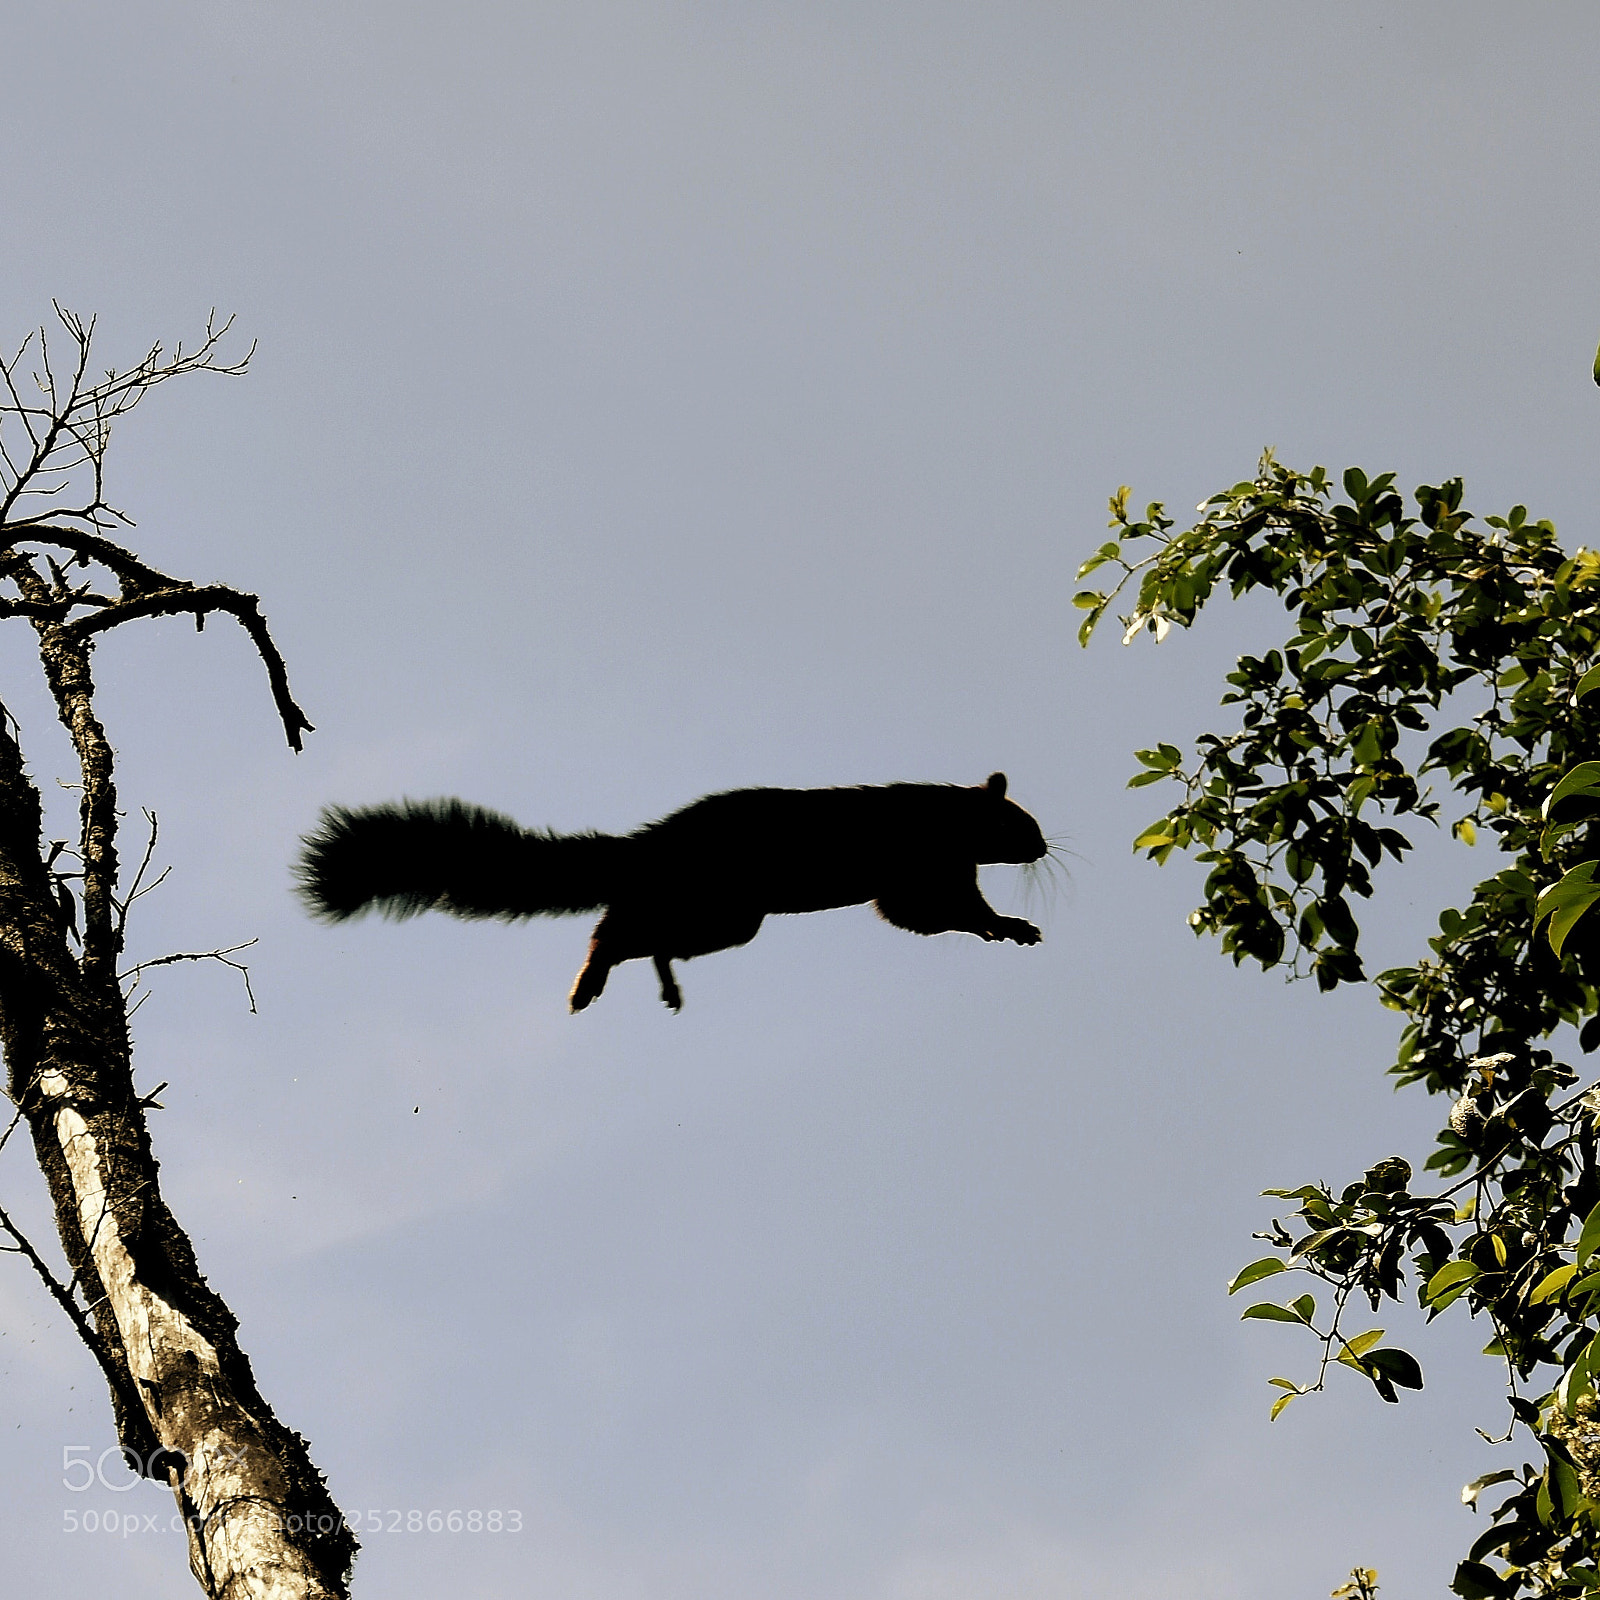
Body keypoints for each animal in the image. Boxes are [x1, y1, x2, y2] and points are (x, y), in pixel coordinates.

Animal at [295, 772, 1048, 1013]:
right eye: (1019, 821)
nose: (1044, 848)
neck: (943, 818)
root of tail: (651, 843)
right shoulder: (916, 863)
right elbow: (923, 912)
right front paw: (1007, 925)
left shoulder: (939, 874)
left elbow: (944, 913)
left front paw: (1006, 927)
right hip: (721, 905)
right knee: (618, 928)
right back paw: (593, 977)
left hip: (716, 913)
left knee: (642, 929)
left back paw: (654, 978)